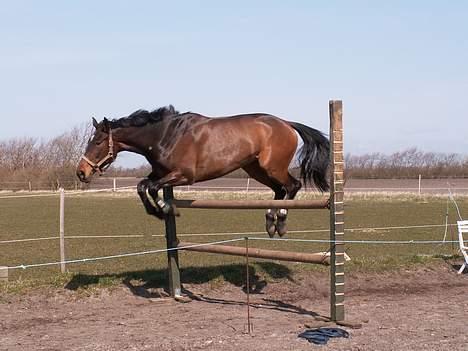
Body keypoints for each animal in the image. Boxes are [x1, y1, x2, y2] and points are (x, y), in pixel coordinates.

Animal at [76, 104, 330, 236]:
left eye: (97, 142)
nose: (81, 172)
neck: (164, 135)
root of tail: (287, 123)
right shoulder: (161, 174)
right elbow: (142, 186)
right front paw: (161, 211)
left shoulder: (184, 175)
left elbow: (151, 188)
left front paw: (164, 209)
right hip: (255, 169)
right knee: (279, 190)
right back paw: (269, 222)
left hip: (272, 166)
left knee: (292, 186)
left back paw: (281, 223)